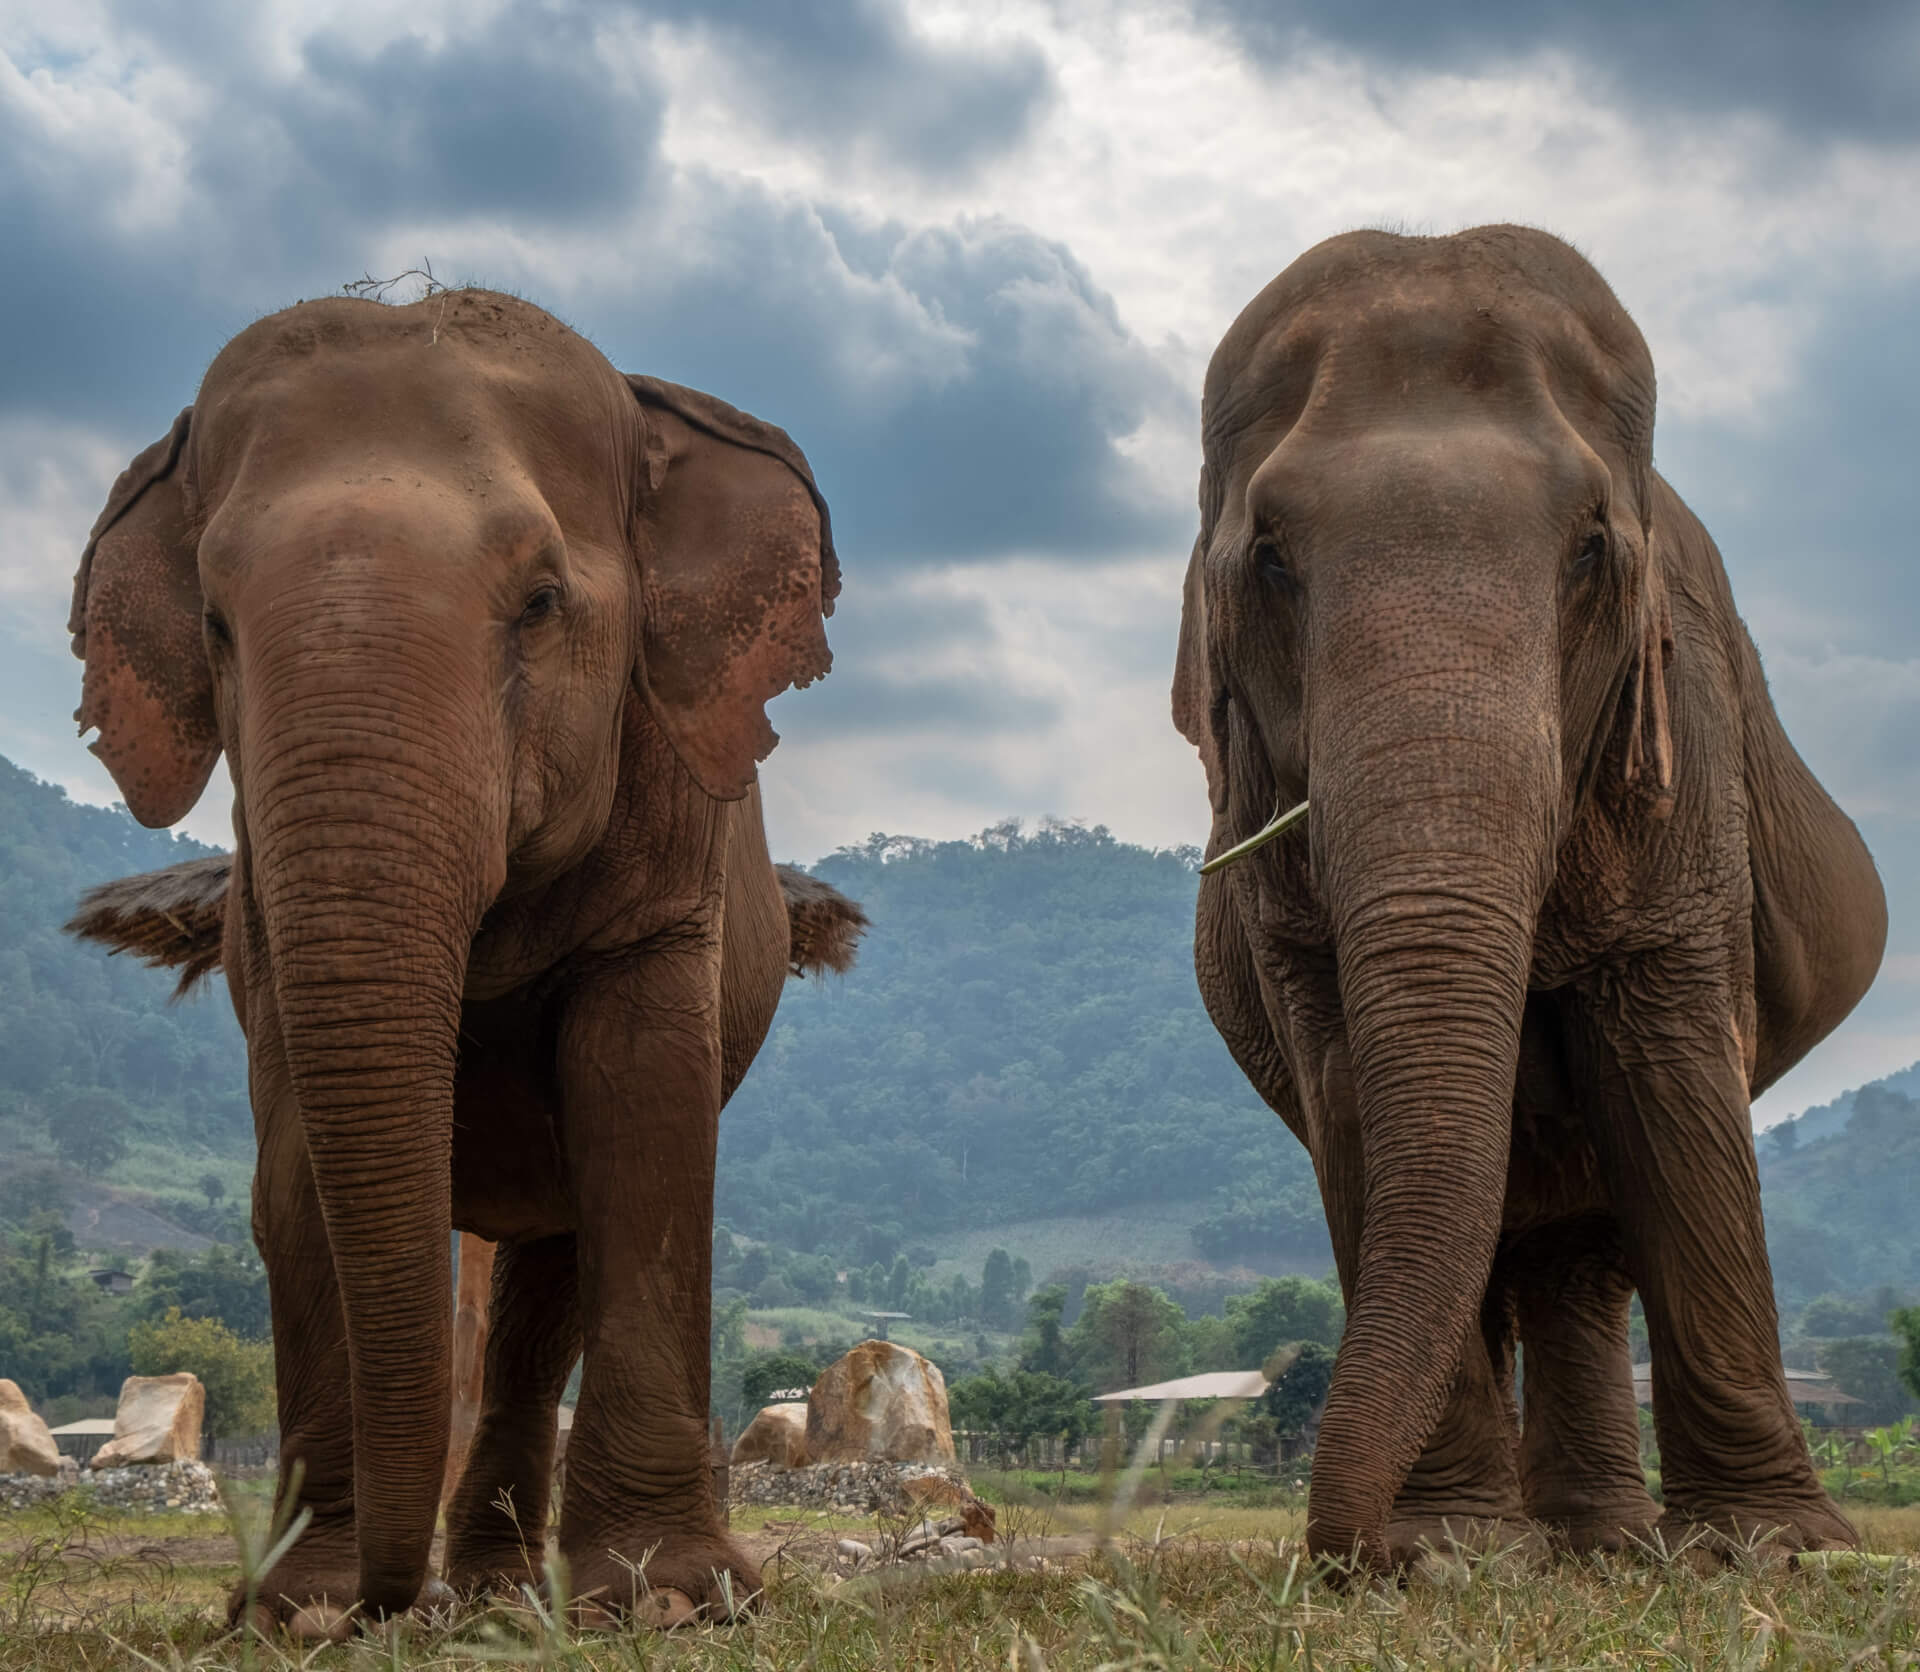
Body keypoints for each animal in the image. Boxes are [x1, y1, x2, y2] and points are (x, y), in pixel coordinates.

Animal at [63, 287, 863, 1631]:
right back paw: (485, 1592)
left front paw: (674, 1601)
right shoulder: (260, 911)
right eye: (216, 623)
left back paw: (503, 1593)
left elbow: (643, 1122)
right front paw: (295, 1612)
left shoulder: (670, 850)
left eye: (540, 600)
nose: (391, 1604)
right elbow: (293, 1174)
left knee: (549, 1283)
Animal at [1172, 225, 1885, 1571]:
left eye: (1591, 549)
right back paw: (1549, 1537)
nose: (1351, 1552)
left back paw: (1601, 1542)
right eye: (1272, 558)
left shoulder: (1685, 769)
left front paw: (1770, 1549)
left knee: (1583, 1238)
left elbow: (1671, 1080)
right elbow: (1350, 1087)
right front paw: (1449, 1546)